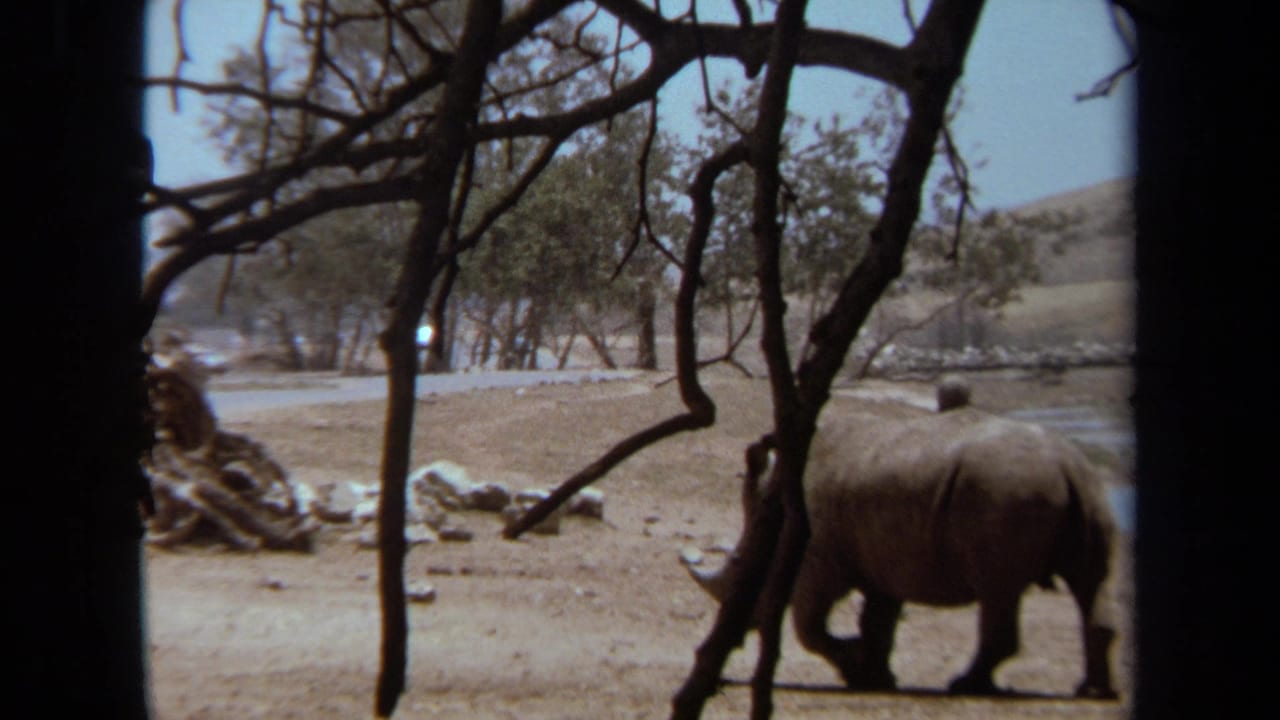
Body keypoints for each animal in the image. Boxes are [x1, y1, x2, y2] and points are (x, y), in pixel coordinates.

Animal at [684, 403, 1119, 698]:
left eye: (739, 566)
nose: (739, 626)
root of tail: (1065, 464)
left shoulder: (819, 558)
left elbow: (810, 625)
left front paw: (855, 667)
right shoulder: (883, 558)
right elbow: (878, 623)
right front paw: (874, 677)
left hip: (1006, 491)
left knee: (999, 592)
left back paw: (965, 685)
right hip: (1086, 490)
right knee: (1090, 582)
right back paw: (1091, 691)